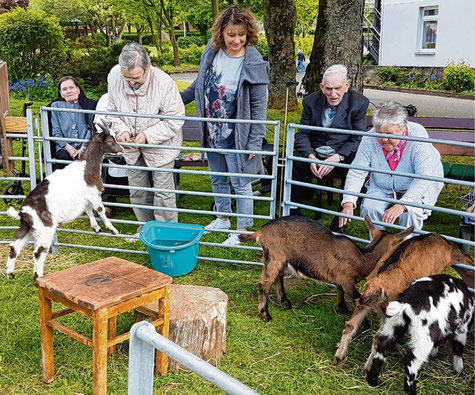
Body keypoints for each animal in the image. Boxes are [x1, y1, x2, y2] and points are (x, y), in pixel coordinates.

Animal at [5, 131, 122, 280]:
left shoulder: (84, 198)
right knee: (38, 252)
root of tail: (23, 212)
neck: (86, 166)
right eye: (110, 141)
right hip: (45, 229)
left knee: (15, 246)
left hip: (28, 228)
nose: (121, 150)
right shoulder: (93, 194)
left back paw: (10, 273)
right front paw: (112, 229)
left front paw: (96, 227)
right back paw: (39, 277)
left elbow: (89, 210)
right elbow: (100, 209)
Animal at [240, 215, 414, 324]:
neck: (363, 256)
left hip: (276, 258)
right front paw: (363, 322)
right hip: (276, 255)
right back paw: (265, 314)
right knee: (264, 283)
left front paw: (342, 308)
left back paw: (285, 303)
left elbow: (339, 290)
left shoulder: (340, 280)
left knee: (277, 278)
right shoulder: (348, 282)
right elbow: (356, 299)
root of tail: (262, 231)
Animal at [334, 234, 475, 366]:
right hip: (389, 312)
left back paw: (339, 357)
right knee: (379, 338)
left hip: (364, 303)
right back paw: (368, 367)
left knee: (351, 325)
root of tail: (377, 285)